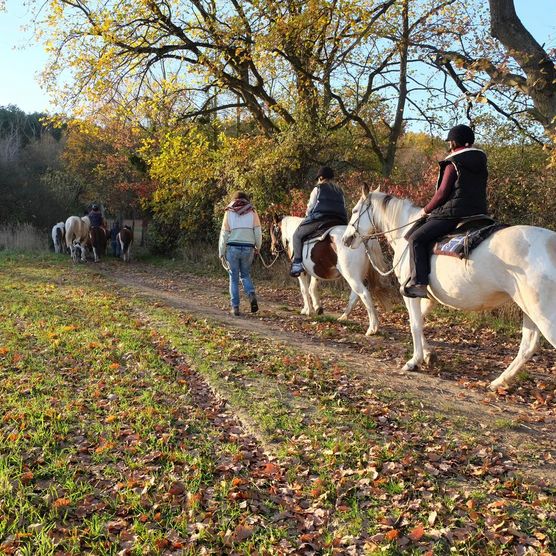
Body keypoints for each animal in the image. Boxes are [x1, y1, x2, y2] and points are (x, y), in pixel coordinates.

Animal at [340, 185, 552, 388]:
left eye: (355, 210)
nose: (346, 239)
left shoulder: (410, 294)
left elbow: (414, 324)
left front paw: (414, 361)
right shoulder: (428, 297)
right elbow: (420, 321)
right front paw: (428, 355)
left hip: (544, 315)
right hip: (528, 310)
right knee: (528, 346)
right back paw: (499, 382)